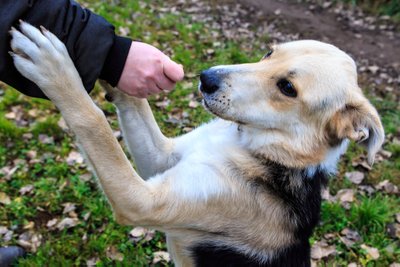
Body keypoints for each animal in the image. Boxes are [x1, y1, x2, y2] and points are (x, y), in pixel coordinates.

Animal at [10, 22, 384, 266]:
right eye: (268, 52)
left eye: (288, 88)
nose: (206, 78)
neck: (254, 148)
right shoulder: (162, 158)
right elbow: (135, 104)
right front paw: (119, 60)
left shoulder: (142, 200)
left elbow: (94, 122)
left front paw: (54, 67)